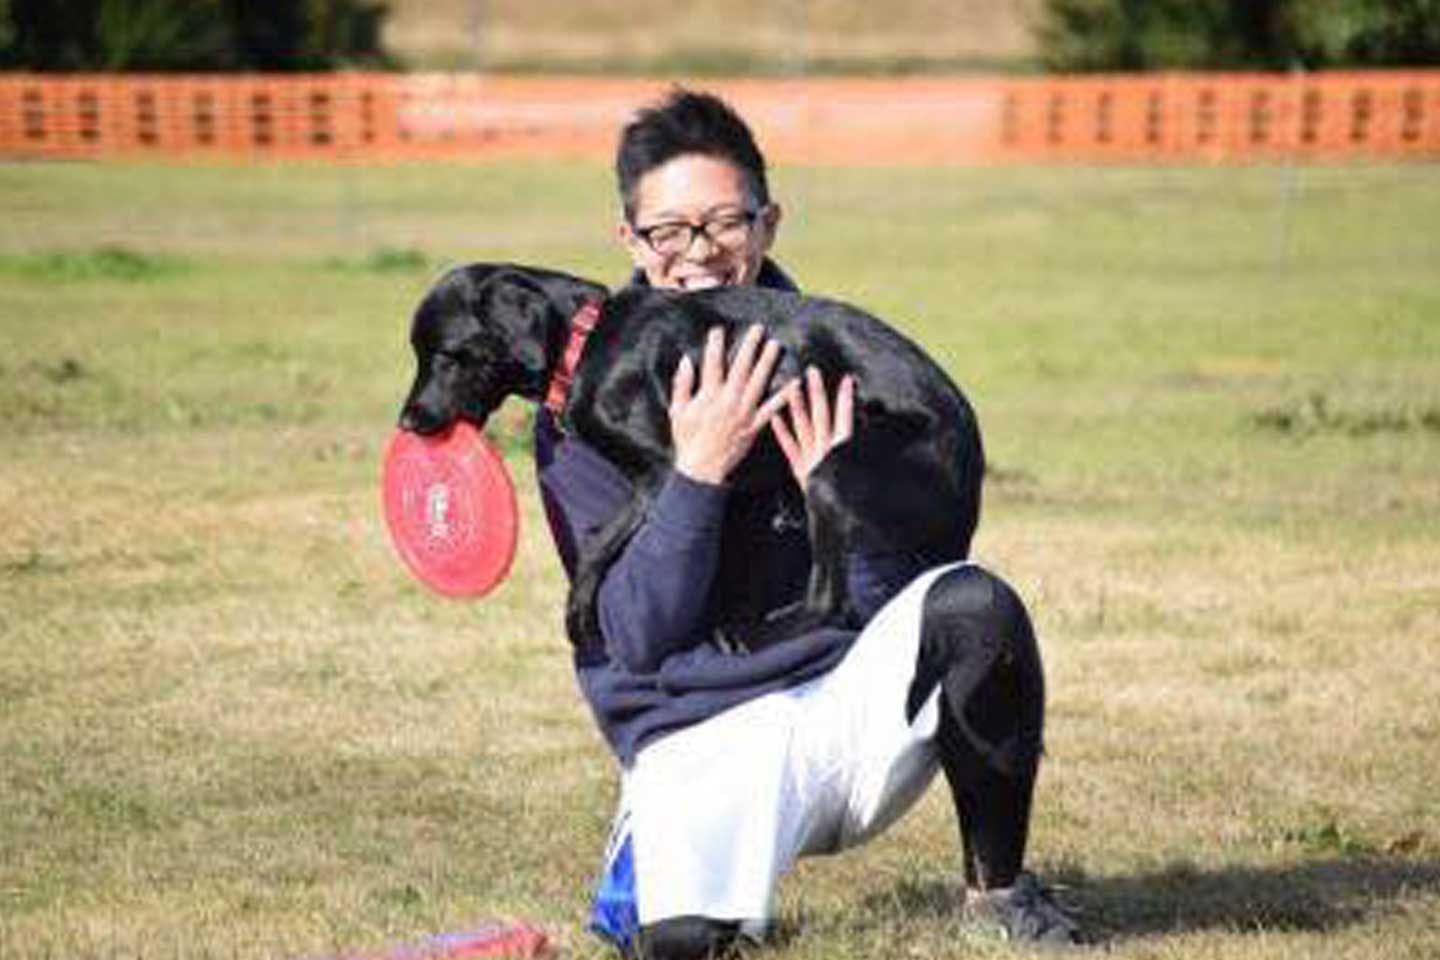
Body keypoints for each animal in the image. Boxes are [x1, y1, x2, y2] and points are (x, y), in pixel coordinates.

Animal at [400, 264, 984, 653]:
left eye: (448, 355)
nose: (406, 424)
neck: (586, 342)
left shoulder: (663, 468)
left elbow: (597, 546)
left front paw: (579, 615)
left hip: (832, 463)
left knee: (831, 600)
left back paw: (751, 634)